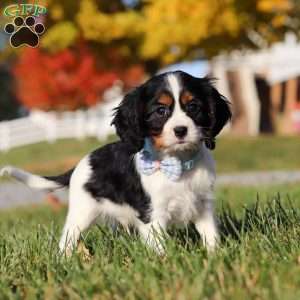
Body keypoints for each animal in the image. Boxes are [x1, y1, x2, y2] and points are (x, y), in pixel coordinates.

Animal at [0, 71, 231, 255]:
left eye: (193, 107)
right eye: (161, 111)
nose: (181, 130)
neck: (178, 164)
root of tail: (80, 164)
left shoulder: (203, 205)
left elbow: (211, 236)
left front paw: (215, 257)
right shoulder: (153, 215)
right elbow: (160, 247)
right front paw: (167, 262)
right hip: (82, 212)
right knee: (67, 239)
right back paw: (63, 260)